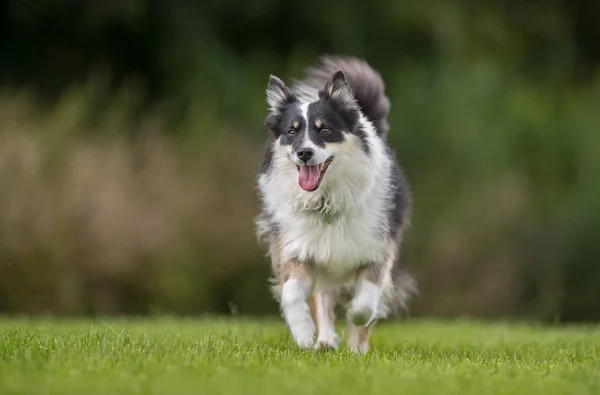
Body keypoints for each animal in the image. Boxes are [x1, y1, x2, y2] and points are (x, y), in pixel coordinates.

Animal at [254, 56, 418, 356]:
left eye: (325, 129)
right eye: (291, 131)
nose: (304, 152)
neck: (326, 201)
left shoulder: (376, 250)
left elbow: (365, 304)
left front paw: (355, 319)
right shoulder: (297, 246)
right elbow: (293, 294)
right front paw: (304, 334)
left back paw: (355, 349)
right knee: (324, 299)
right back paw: (326, 340)